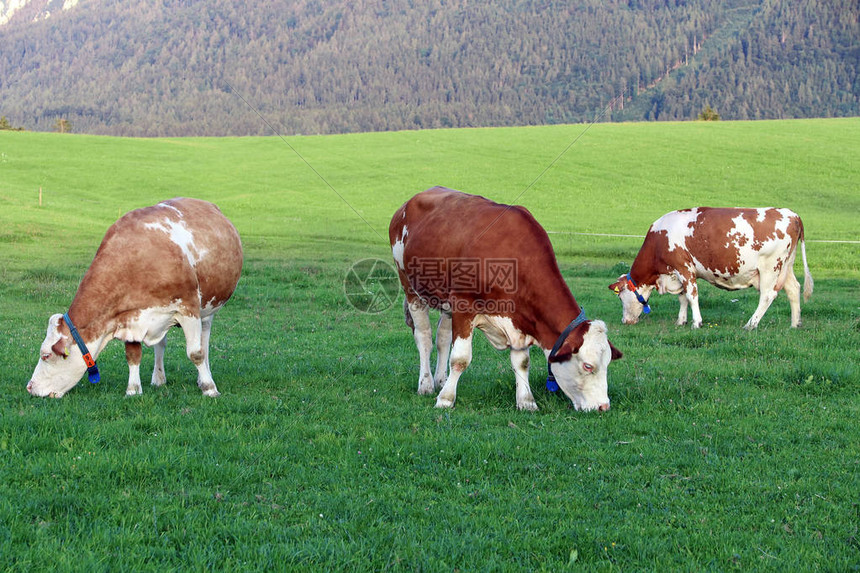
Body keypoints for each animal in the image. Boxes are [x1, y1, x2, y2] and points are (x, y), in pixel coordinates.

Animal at [27, 198, 242, 398]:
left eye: (45, 355)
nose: (30, 387)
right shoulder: (128, 316)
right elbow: (132, 355)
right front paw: (133, 390)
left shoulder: (188, 308)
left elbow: (196, 353)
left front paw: (209, 388)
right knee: (161, 344)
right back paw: (158, 378)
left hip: (208, 309)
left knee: (204, 342)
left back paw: (203, 377)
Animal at [392, 188, 624, 412]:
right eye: (588, 366)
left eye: (608, 364)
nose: (603, 406)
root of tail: (407, 203)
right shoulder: (464, 306)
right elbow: (460, 359)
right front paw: (446, 399)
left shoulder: (520, 319)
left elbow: (522, 363)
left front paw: (526, 401)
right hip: (410, 287)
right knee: (424, 337)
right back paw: (426, 384)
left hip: (446, 302)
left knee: (442, 338)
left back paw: (440, 380)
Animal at [608, 208, 808, 328]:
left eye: (620, 297)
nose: (625, 321)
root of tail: (792, 214)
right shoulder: (678, 273)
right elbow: (683, 298)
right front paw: (681, 321)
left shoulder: (684, 268)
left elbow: (691, 296)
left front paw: (696, 322)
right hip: (786, 266)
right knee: (793, 289)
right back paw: (795, 323)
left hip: (770, 267)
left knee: (767, 295)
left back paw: (751, 324)